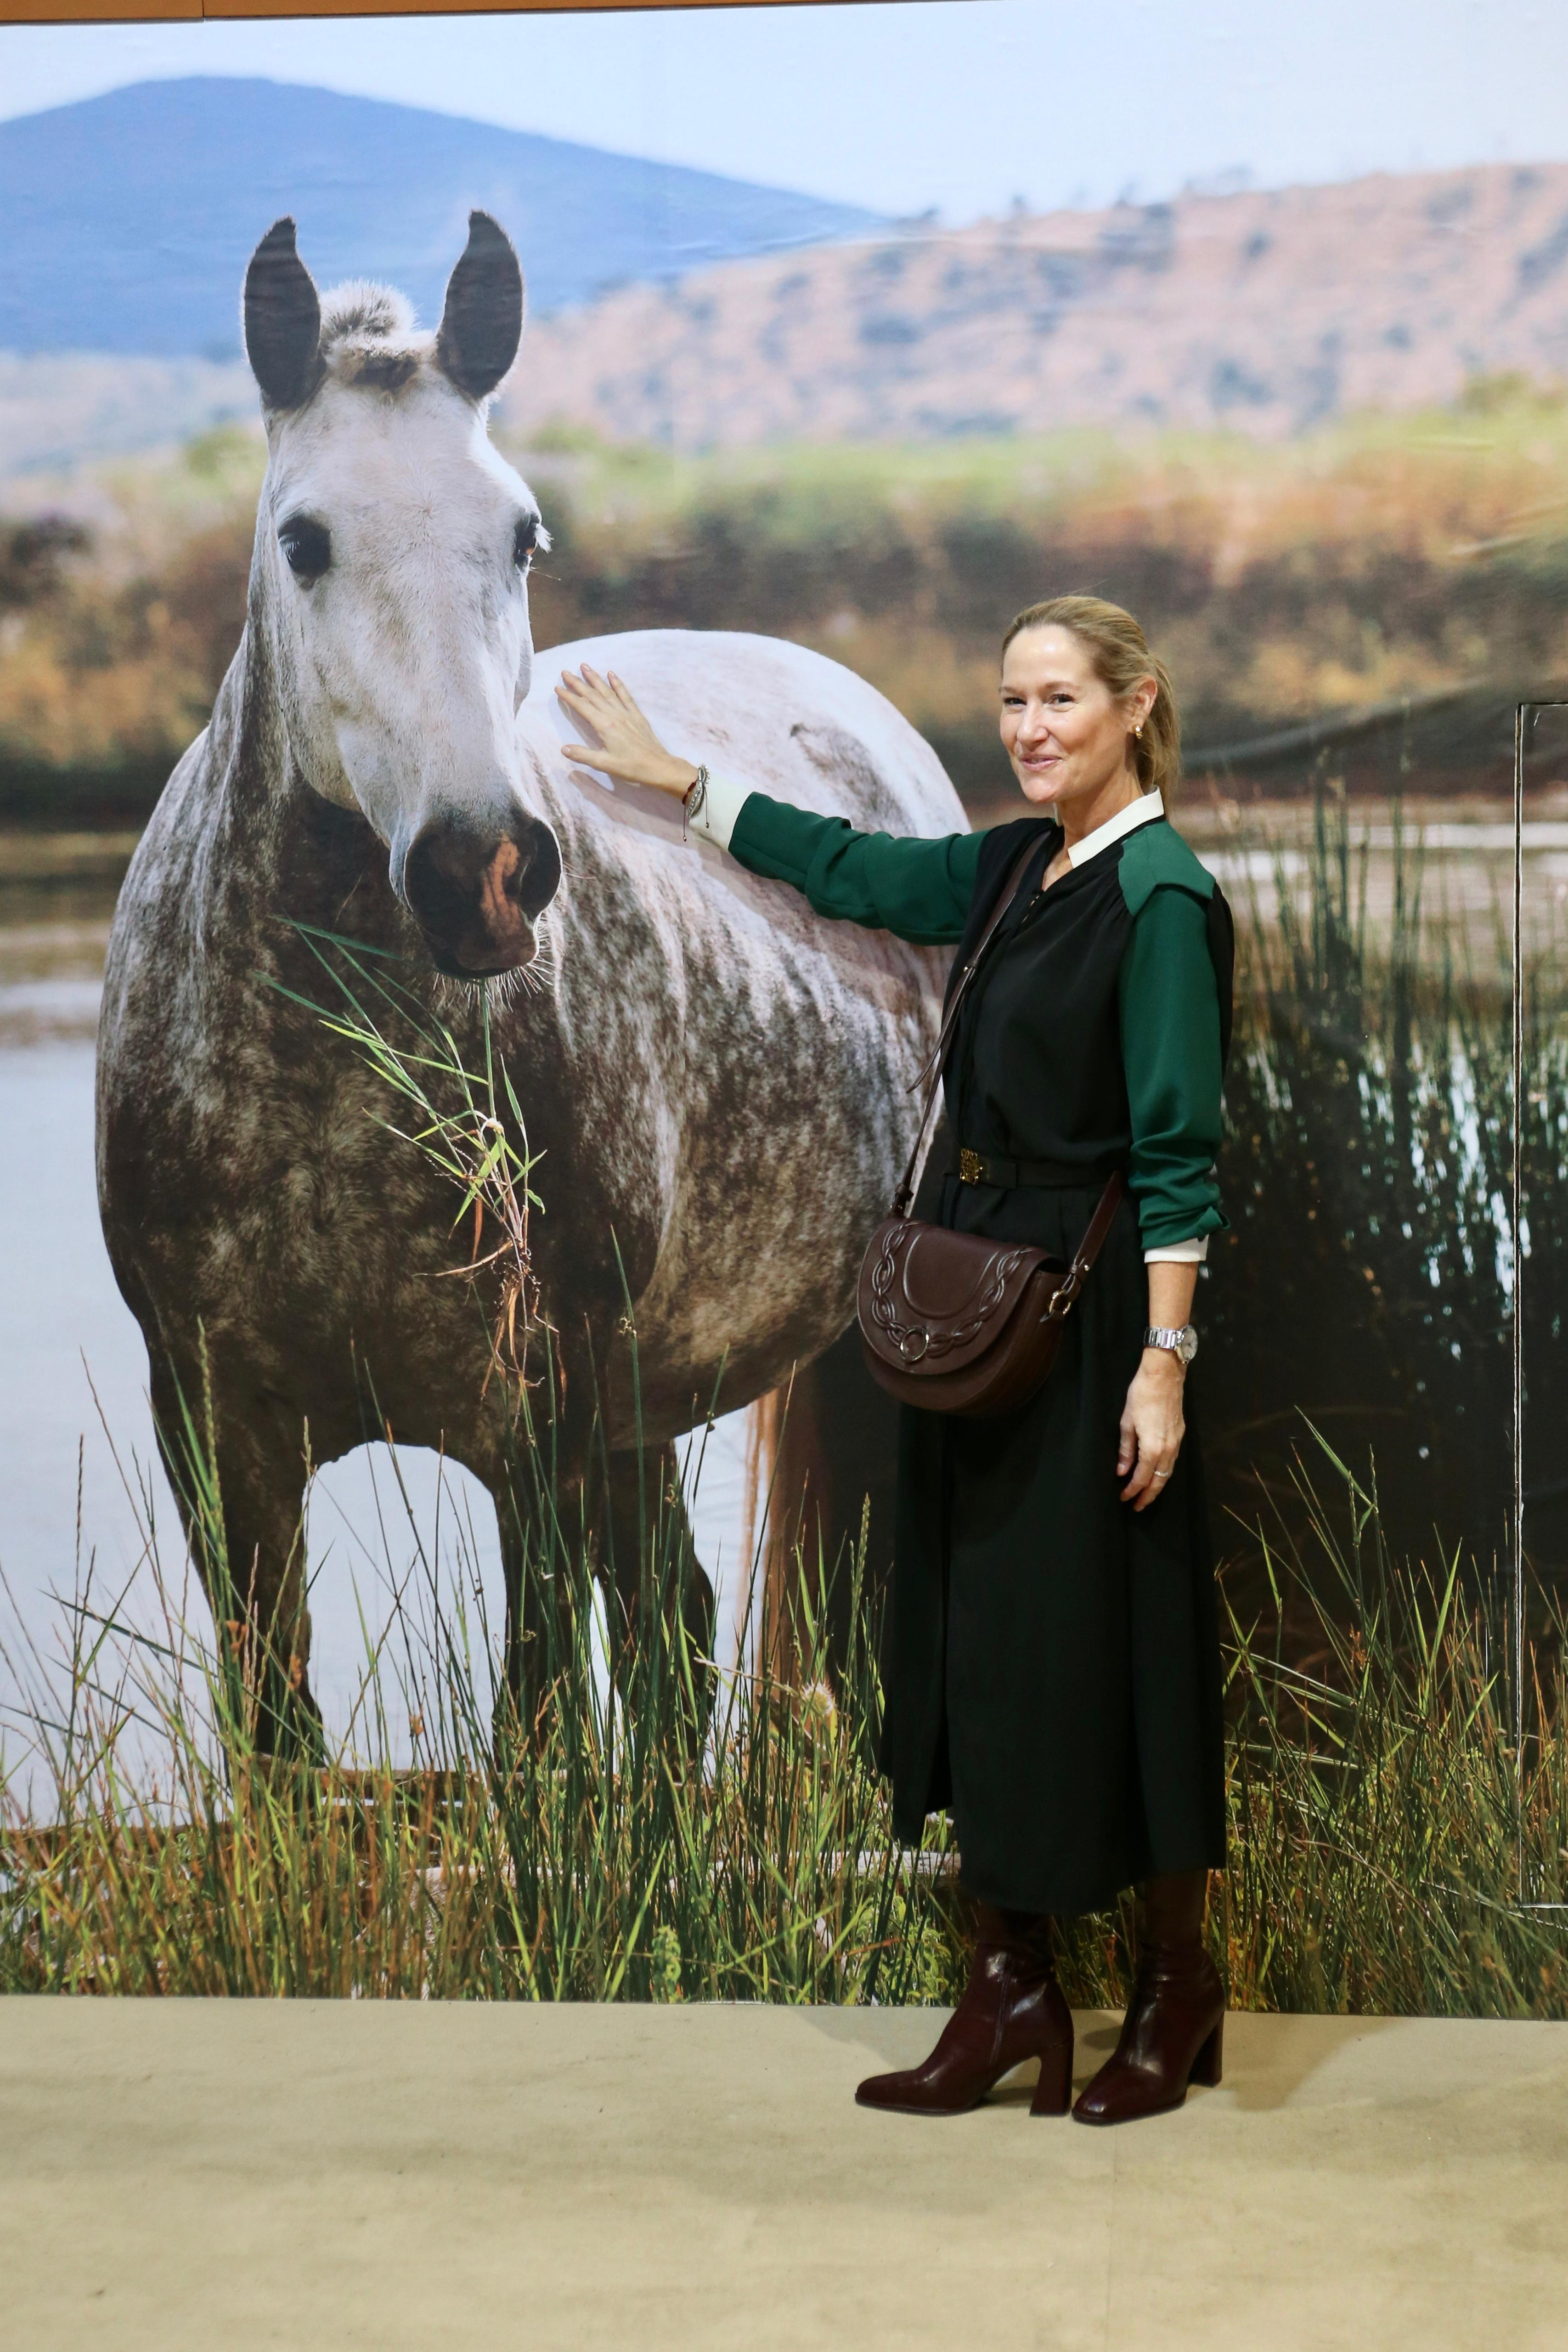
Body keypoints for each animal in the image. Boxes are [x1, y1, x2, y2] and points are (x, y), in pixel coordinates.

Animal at [95, 216, 968, 1731]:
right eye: (303, 540)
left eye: (523, 536)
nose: (484, 867)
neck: (320, 1095)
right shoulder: (216, 1437)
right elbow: (280, 1733)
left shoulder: (533, 1432)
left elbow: (538, 1728)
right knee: (677, 1619)